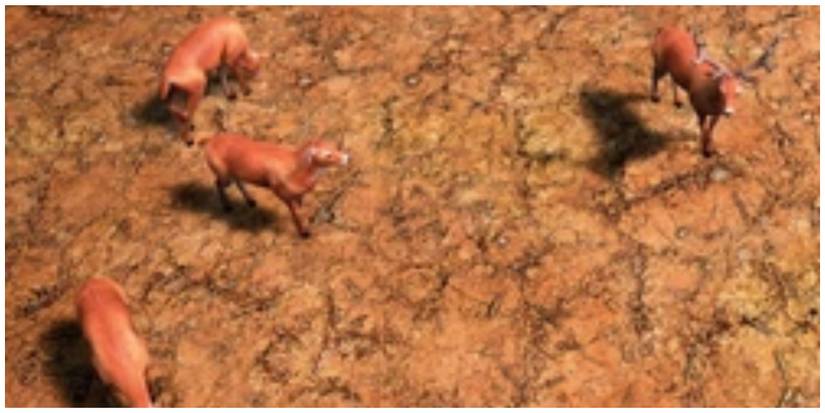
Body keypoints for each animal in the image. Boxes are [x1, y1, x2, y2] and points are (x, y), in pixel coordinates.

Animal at [160, 16, 261, 145]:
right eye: (256, 68)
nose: (258, 74)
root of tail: (167, 76)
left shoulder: (222, 60)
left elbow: (222, 75)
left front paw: (230, 94)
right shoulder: (231, 59)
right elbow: (237, 75)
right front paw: (246, 90)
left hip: (176, 92)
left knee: (173, 109)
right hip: (197, 90)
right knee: (186, 113)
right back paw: (189, 139)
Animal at [202, 133, 350, 237]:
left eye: (335, 146)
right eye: (328, 155)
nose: (347, 158)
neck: (296, 170)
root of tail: (210, 141)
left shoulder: (299, 195)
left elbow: (301, 211)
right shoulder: (283, 195)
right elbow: (296, 214)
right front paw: (304, 233)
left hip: (234, 173)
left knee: (237, 181)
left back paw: (251, 201)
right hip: (224, 176)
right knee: (217, 183)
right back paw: (227, 207)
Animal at [650, 26, 779, 157]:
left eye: (738, 92)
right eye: (721, 89)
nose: (729, 112)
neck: (710, 101)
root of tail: (664, 29)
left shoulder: (717, 112)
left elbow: (712, 128)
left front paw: (711, 148)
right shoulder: (698, 107)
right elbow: (704, 128)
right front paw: (706, 151)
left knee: (672, 78)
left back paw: (677, 102)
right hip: (660, 60)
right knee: (655, 72)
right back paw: (655, 97)